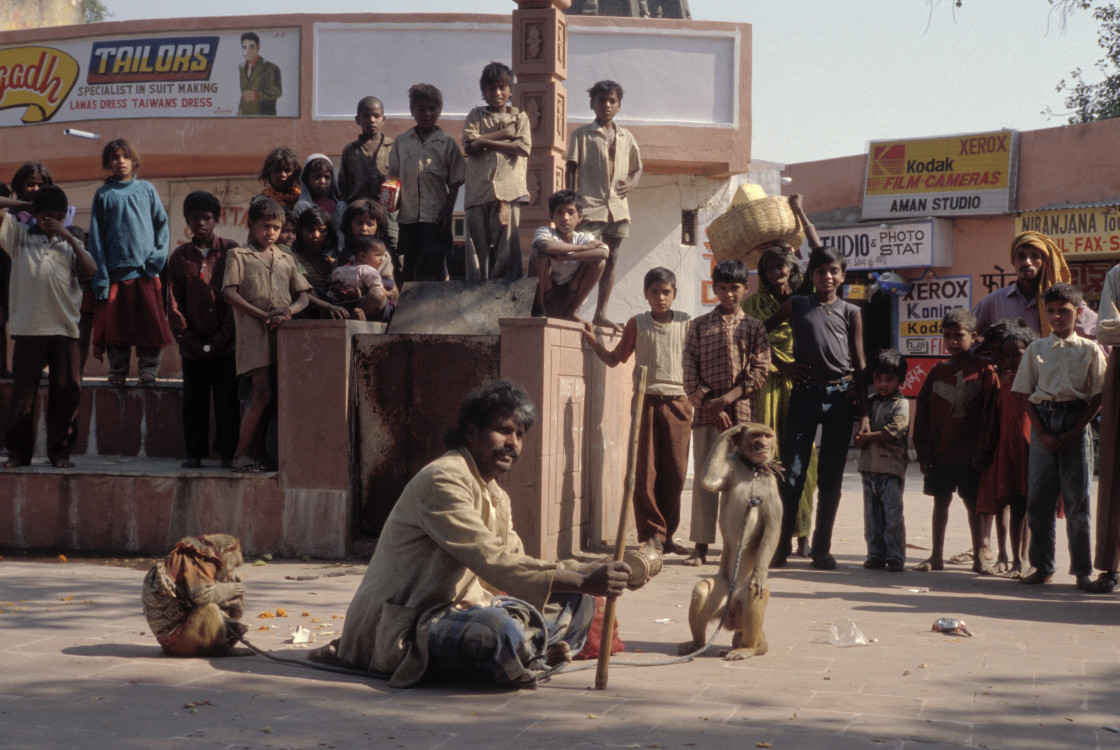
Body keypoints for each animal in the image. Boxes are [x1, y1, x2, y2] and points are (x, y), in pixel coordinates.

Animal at [676, 425, 784, 662]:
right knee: (702, 590)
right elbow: (710, 481)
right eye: (756, 436)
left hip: (743, 599)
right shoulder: (733, 462)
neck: (753, 470)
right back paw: (697, 643)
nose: (764, 445)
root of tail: (732, 613)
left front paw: (760, 571)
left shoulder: (770, 484)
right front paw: (733, 430)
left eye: (768, 436)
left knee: (753, 593)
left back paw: (749, 649)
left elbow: (772, 528)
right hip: (724, 591)